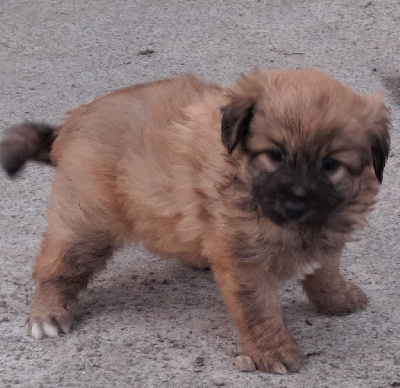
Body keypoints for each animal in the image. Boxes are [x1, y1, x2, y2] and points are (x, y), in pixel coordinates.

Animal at [0, 69, 390, 372]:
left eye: (331, 164)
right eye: (275, 155)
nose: (296, 201)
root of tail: (71, 124)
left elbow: (324, 269)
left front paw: (336, 298)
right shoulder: (244, 262)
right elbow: (260, 309)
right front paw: (272, 350)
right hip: (86, 224)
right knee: (58, 266)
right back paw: (47, 314)